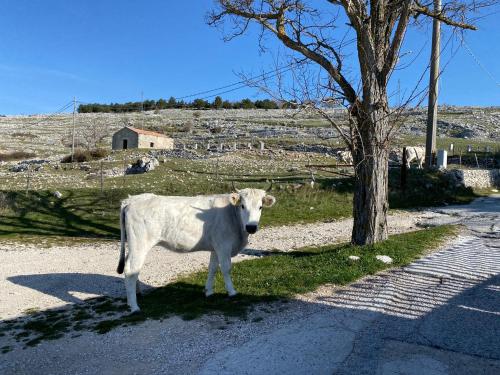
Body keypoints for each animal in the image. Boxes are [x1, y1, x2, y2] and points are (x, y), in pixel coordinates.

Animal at [115, 188, 276, 314]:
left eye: (260, 207)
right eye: (242, 206)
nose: (251, 227)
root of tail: (131, 200)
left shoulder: (216, 247)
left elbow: (212, 268)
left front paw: (209, 292)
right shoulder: (224, 245)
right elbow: (226, 268)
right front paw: (232, 292)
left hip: (134, 245)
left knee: (133, 269)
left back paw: (137, 295)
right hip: (140, 243)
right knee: (130, 270)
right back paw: (134, 306)